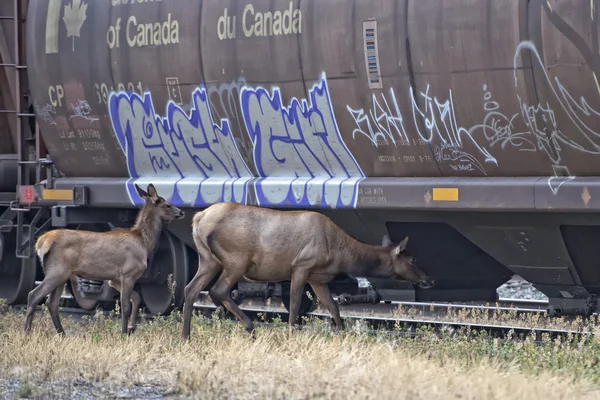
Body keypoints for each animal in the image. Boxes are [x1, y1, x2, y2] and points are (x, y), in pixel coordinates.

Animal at [24, 184, 183, 334]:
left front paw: (132, 328)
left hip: (62, 275)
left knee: (51, 302)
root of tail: (41, 242)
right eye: (167, 204)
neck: (143, 242)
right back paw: (27, 332)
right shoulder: (128, 273)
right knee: (34, 295)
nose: (181, 212)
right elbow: (125, 306)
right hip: (57, 271)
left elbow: (136, 297)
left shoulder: (115, 279)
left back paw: (61, 333)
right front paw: (124, 332)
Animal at [180, 202, 434, 340]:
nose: (429, 279)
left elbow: (333, 307)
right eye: (412, 259)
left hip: (208, 260)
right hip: (236, 258)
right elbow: (294, 306)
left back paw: (186, 336)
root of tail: (199, 218)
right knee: (219, 290)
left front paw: (342, 335)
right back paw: (250, 327)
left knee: (191, 289)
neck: (341, 254)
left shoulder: (318, 278)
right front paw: (291, 335)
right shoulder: (302, 266)